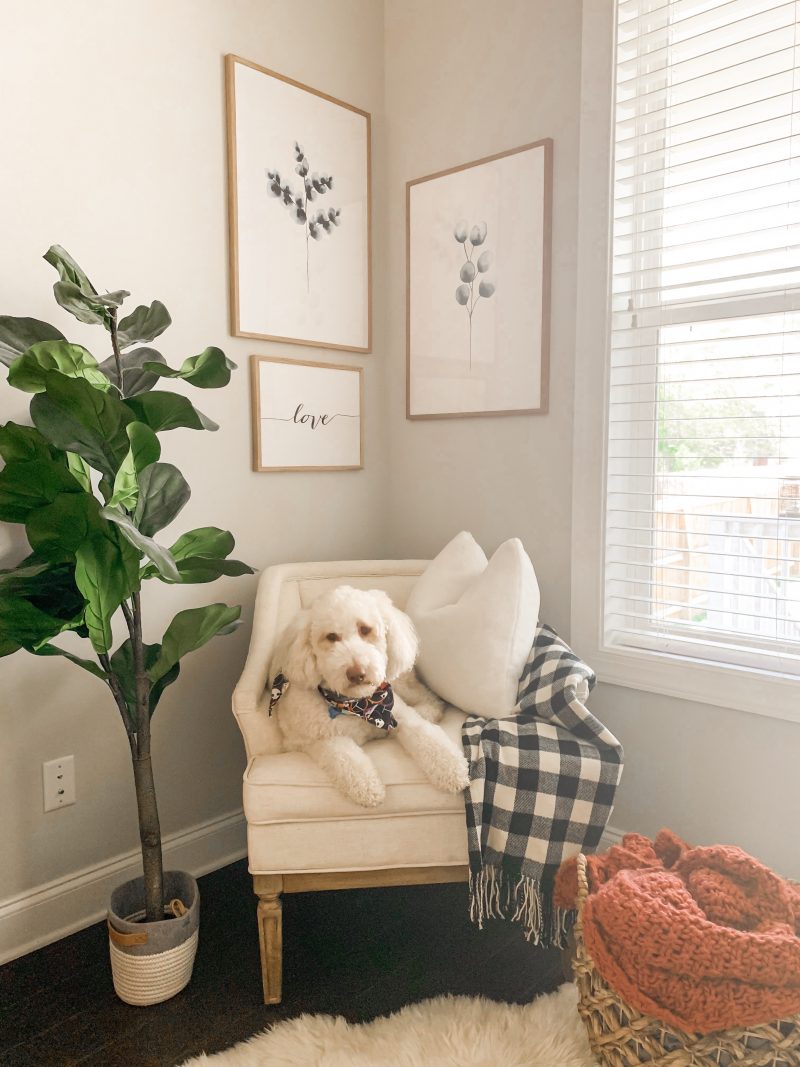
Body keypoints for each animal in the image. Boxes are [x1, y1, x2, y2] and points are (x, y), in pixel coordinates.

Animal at [270, 584, 469, 806]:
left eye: (365, 629)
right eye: (331, 636)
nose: (356, 673)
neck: (358, 704)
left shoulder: (396, 712)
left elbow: (426, 735)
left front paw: (452, 769)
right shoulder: (314, 739)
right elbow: (345, 758)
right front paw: (368, 787)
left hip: (400, 684)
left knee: (429, 697)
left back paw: (426, 711)